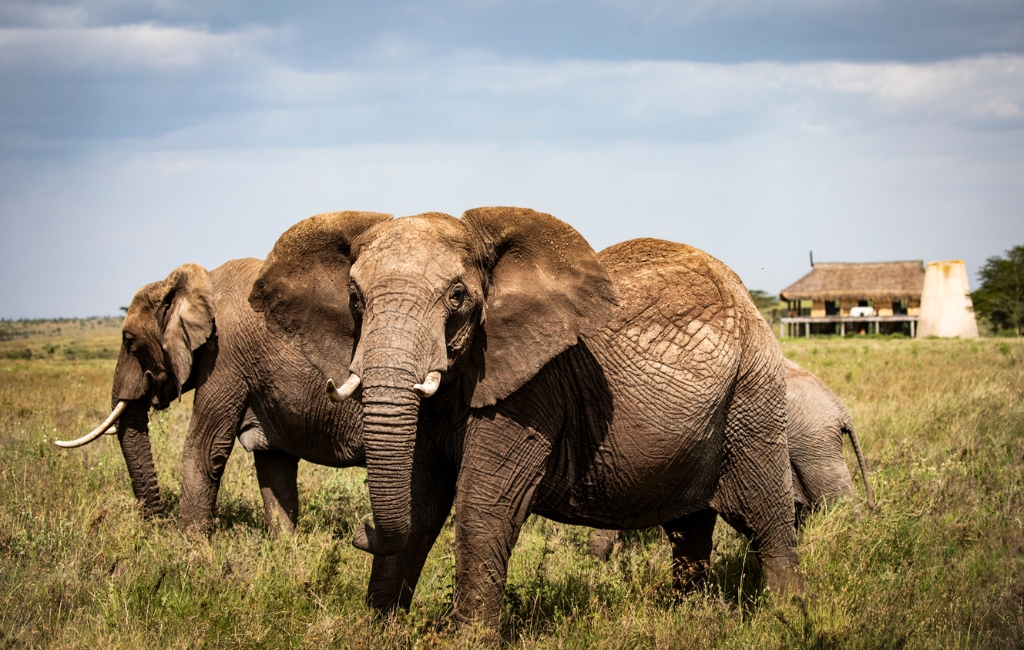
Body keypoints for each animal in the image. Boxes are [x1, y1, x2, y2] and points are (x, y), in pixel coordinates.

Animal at [55, 240, 384, 533]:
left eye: (129, 341)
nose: (154, 526)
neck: (201, 283)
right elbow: (273, 460)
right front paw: (284, 547)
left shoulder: (225, 355)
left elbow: (204, 447)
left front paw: (190, 549)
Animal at [249, 207, 802, 630]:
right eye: (355, 299)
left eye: (457, 296)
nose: (356, 532)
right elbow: (420, 502)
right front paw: (379, 630)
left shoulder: (533, 387)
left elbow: (482, 505)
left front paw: (468, 640)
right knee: (689, 531)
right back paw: (688, 615)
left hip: (753, 396)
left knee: (767, 519)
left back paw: (787, 619)